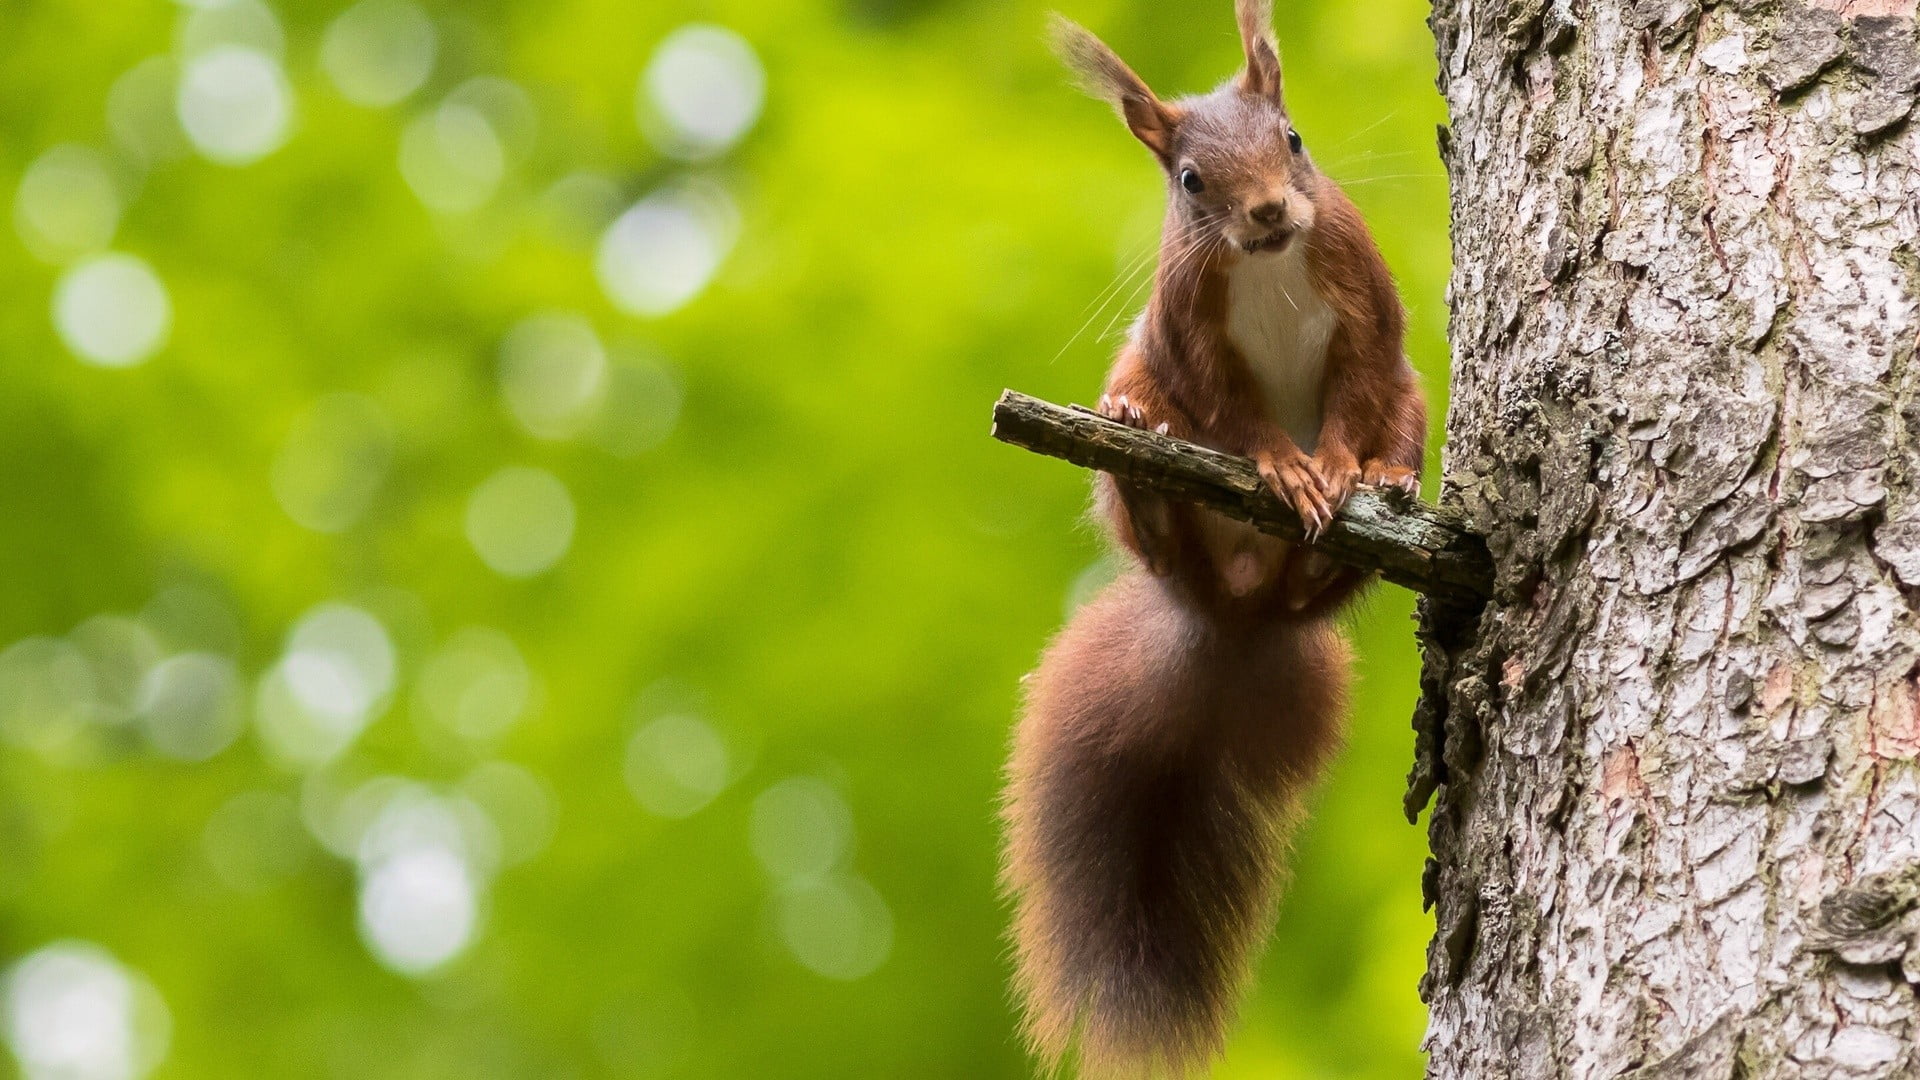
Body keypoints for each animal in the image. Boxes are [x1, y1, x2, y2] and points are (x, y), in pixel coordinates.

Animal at [1000, 2, 1428, 1076]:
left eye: (1295, 139)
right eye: (1190, 182)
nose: (1270, 214)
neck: (1269, 267)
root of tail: (1232, 606)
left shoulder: (1364, 305)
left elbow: (1359, 387)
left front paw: (1343, 470)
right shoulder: (1189, 334)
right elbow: (1234, 414)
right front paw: (1283, 467)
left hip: (1414, 409)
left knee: (1387, 437)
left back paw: (1379, 496)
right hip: (1138, 399)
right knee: (1152, 493)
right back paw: (1145, 467)